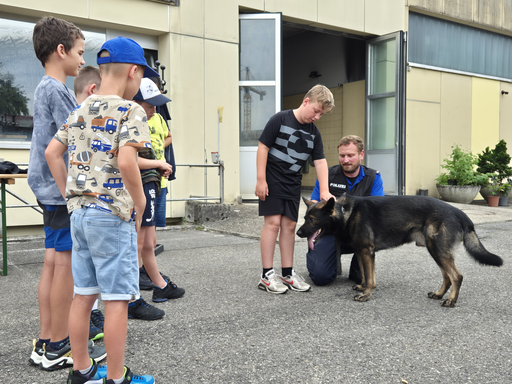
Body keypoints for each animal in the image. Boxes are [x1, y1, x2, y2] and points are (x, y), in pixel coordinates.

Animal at [298, 196, 502, 308]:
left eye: (312, 220)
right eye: (304, 218)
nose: (298, 232)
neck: (344, 212)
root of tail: (461, 213)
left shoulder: (366, 251)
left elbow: (370, 277)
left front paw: (366, 294)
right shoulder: (363, 252)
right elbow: (365, 274)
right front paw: (363, 287)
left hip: (437, 250)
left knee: (456, 276)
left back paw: (451, 301)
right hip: (436, 250)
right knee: (447, 276)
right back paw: (439, 294)